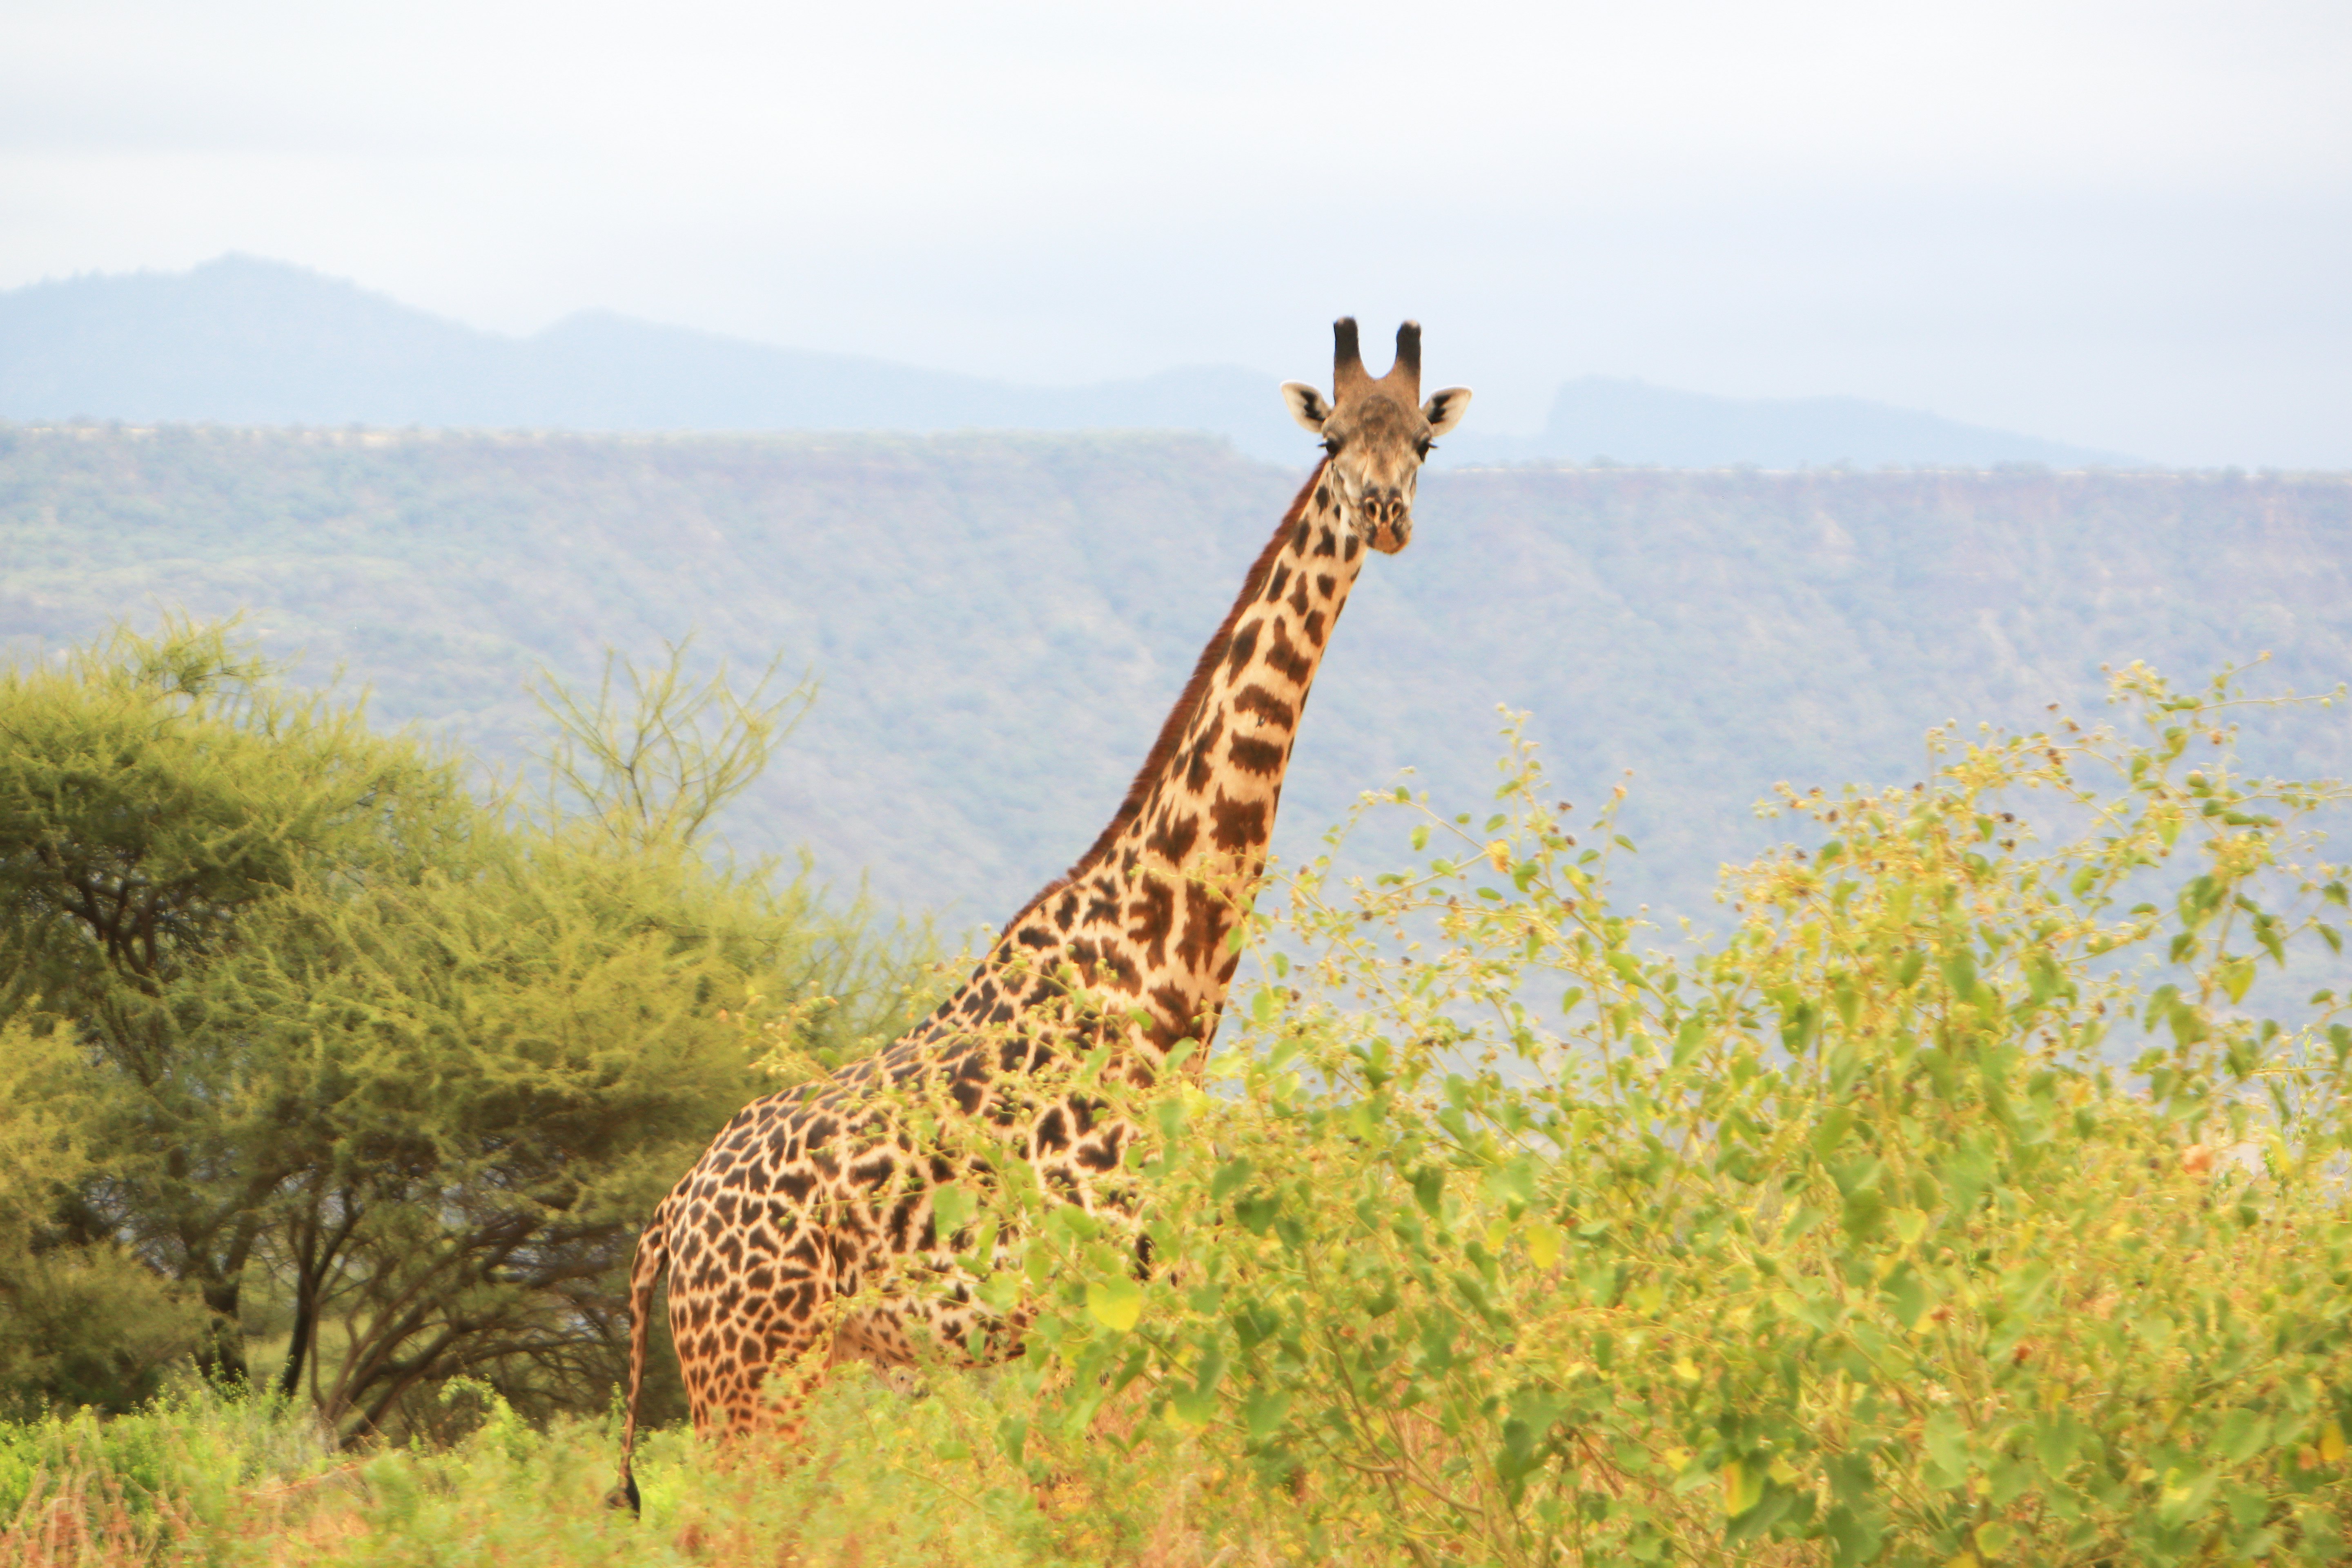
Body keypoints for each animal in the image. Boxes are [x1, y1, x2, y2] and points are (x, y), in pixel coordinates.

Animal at [610, 318, 1470, 1512]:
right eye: (1332, 439)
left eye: (1423, 446)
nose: (1385, 515)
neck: (1165, 974)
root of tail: (670, 1216)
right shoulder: (1091, 1298)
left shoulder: (1143, 1300)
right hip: (749, 1380)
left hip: (781, 1378)